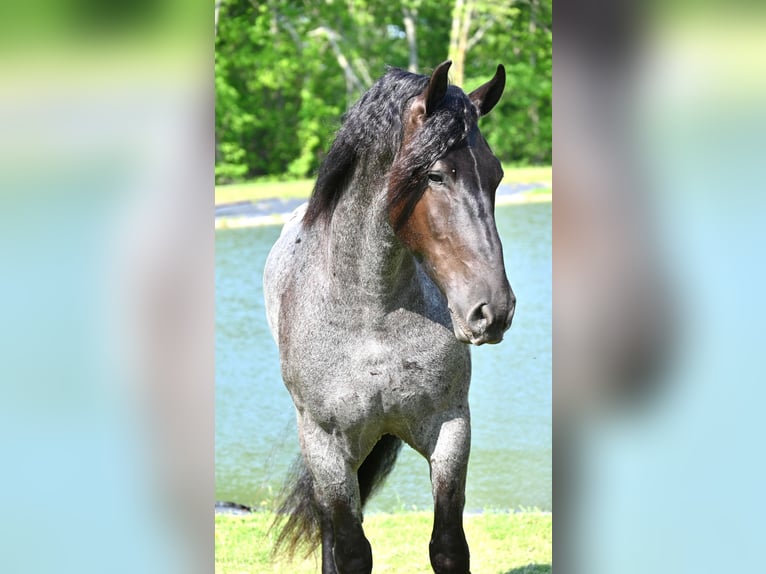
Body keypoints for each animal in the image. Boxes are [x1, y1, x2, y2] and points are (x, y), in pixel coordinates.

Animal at [262, 60, 516, 572]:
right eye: (436, 175)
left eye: (496, 175)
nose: (493, 309)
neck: (371, 315)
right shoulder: (327, 447)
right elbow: (351, 551)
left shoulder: (449, 427)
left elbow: (448, 546)